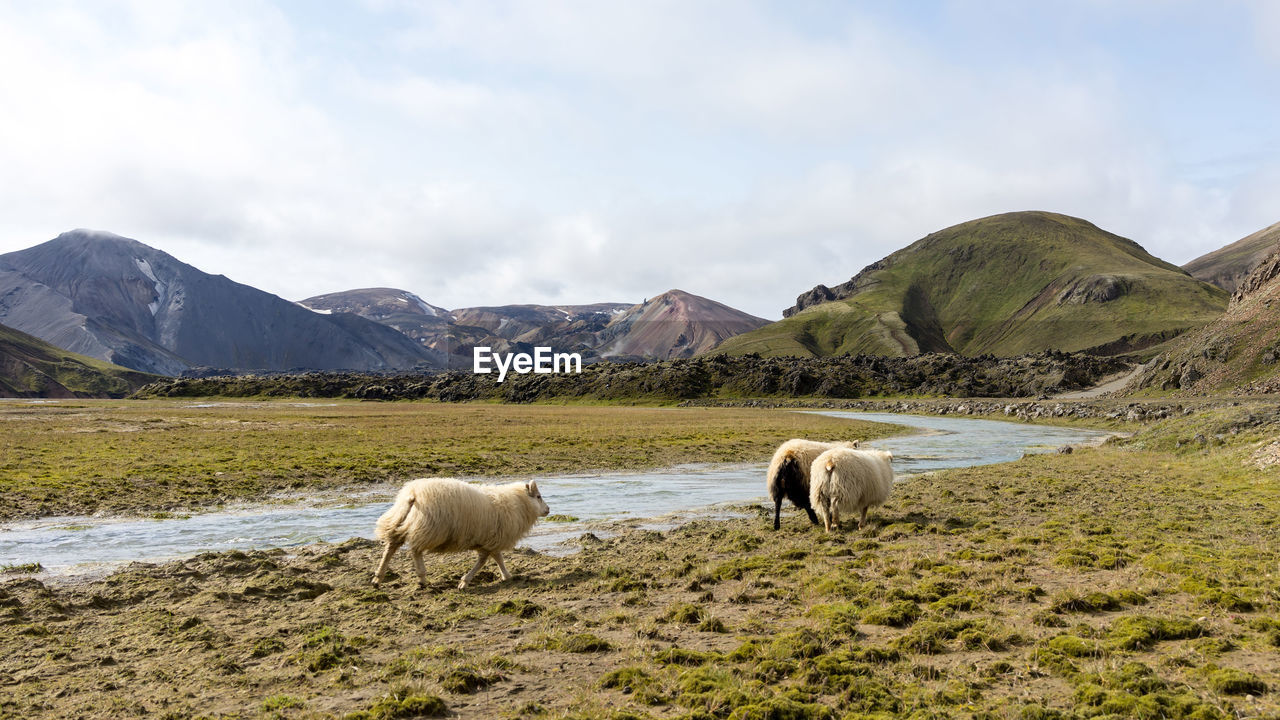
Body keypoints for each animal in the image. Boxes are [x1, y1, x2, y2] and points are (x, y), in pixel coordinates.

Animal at [371, 474, 550, 586]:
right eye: (539, 496)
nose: (548, 509)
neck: (518, 503)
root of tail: (413, 494)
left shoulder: (490, 539)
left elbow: (496, 558)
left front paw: (506, 575)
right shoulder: (492, 539)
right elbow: (484, 560)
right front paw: (465, 581)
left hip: (398, 520)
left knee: (391, 546)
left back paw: (378, 578)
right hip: (430, 529)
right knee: (415, 550)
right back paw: (422, 578)